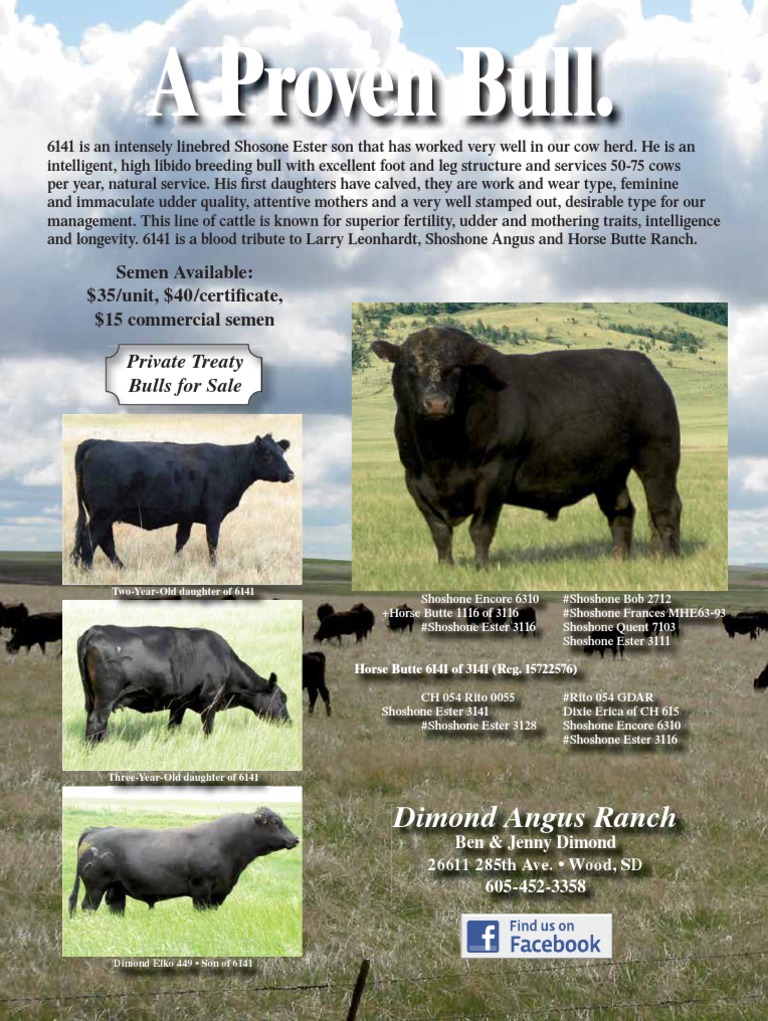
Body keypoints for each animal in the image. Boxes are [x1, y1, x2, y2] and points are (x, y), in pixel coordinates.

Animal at [67, 808, 299, 915]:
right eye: (275, 822)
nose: (295, 839)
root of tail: (96, 830)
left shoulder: (219, 892)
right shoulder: (201, 889)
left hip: (116, 888)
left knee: (115, 907)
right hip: (95, 886)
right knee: (88, 906)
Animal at [70, 434, 294, 570]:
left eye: (281, 452)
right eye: (268, 455)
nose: (290, 474)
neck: (232, 464)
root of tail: (95, 442)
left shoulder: (187, 516)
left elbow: (181, 540)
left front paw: (175, 562)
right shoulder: (214, 513)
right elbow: (212, 541)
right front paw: (213, 567)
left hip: (104, 514)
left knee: (104, 541)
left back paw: (121, 568)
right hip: (103, 513)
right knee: (90, 538)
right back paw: (89, 570)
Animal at [76, 625, 290, 742]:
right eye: (282, 698)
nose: (289, 722)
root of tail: (95, 629)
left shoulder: (179, 704)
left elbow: (173, 726)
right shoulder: (210, 700)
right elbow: (208, 729)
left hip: (92, 699)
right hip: (106, 698)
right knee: (97, 722)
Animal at [372, 328, 681, 567]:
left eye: (456, 368)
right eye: (410, 368)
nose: (436, 404)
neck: (441, 455)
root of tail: (645, 366)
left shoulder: (495, 471)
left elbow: (480, 529)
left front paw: (481, 568)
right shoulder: (415, 480)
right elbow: (439, 531)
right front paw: (445, 568)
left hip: (658, 455)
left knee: (665, 507)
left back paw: (667, 558)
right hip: (610, 472)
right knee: (621, 512)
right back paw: (618, 559)